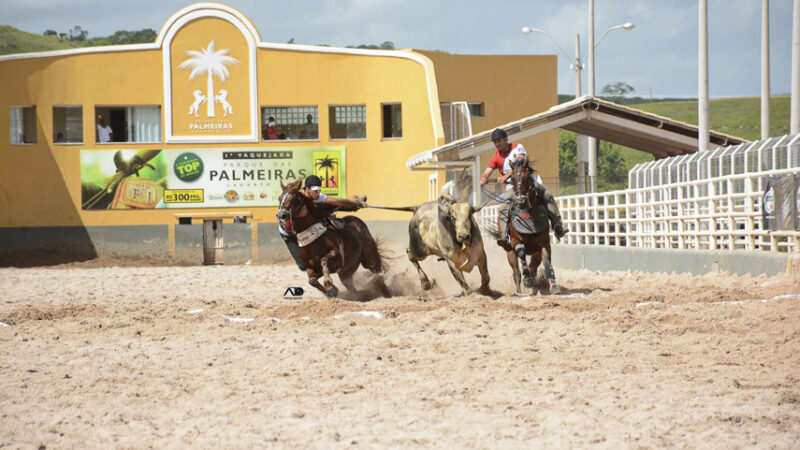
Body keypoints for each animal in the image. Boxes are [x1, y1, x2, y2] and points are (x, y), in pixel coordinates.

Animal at [496, 159, 560, 296]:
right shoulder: (515, 241)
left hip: (535, 253)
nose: (521, 200)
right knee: (516, 272)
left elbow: (547, 264)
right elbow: (521, 252)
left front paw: (554, 287)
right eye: (512, 178)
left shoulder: (544, 243)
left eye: (526, 177)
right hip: (509, 252)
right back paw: (520, 290)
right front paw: (527, 279)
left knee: (534, 267)